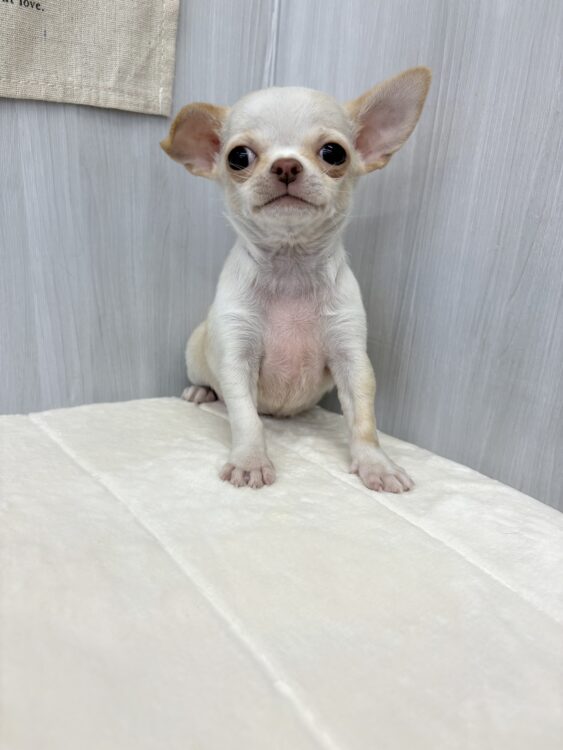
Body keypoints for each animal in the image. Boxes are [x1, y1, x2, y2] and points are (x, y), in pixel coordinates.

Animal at [161, 67, 431, 491]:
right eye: (238, 157)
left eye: (334, 153)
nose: (286, 165)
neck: (290, 268)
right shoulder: (236, 356)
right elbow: (246, 418)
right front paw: (250, 460)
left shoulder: (351, 357)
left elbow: (364, 420)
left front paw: (376, 464)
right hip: (195, 354)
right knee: (208, 384)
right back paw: (200, 391)